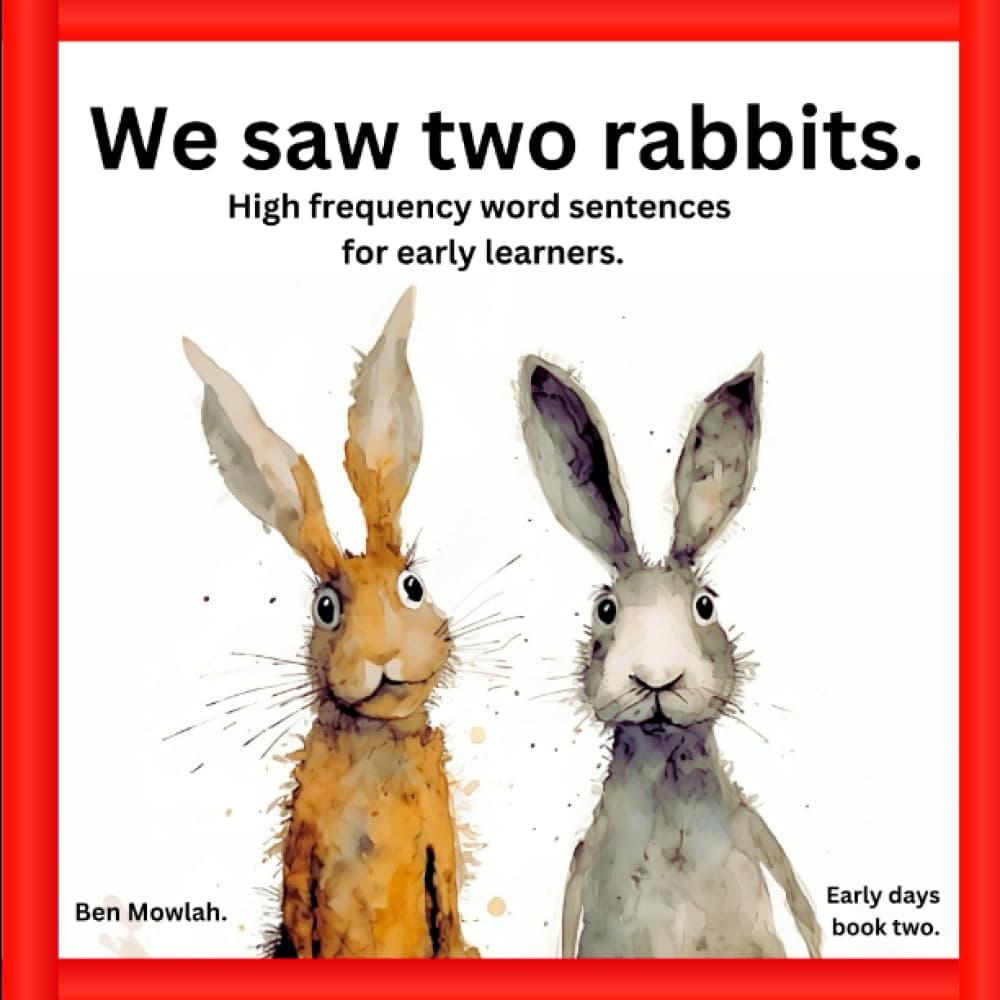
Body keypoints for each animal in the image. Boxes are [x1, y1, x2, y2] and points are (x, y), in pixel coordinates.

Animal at [183, 288, 478, 959]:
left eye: (413, 588)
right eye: (325, 608)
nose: (381, 656)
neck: (375, 744)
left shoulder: (440, 832)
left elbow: (449, 906)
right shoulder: (302, 839)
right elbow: (297, 912)